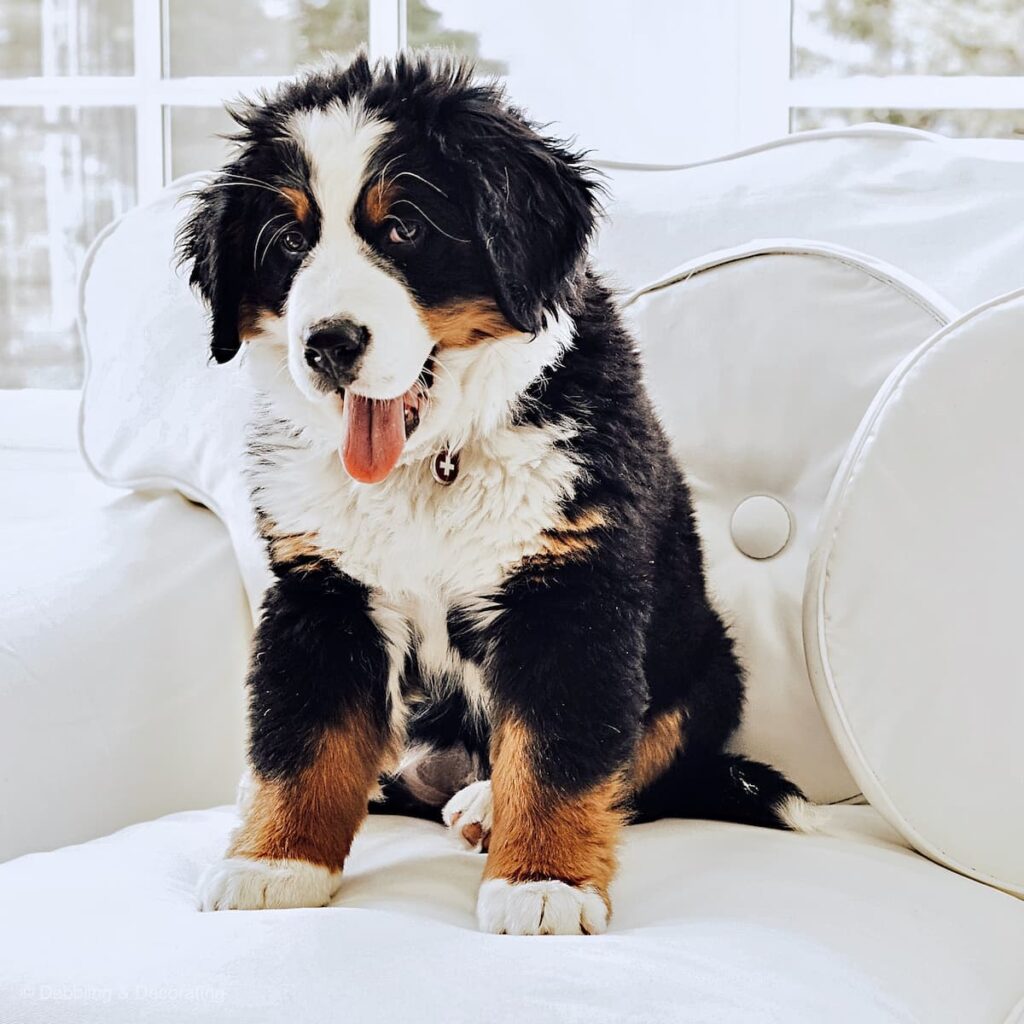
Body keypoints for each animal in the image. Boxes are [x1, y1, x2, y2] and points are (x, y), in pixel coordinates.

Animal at [178, 49, 815, 937]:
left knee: (636, 763)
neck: (429, 464)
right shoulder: (323, 593)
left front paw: (542, 882)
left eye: (405, 228)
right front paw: (273, 862)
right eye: (290, 241)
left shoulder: (569, 594)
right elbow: (305, 739)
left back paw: (484, 805)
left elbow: (557, 753)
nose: (328, 346)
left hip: (705, 667)